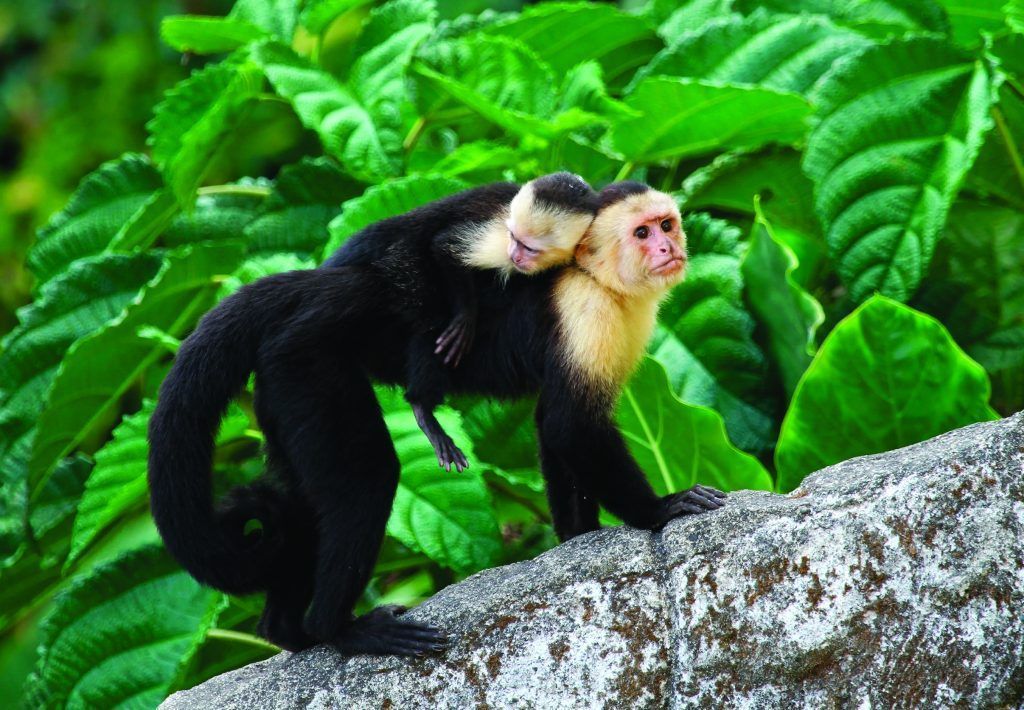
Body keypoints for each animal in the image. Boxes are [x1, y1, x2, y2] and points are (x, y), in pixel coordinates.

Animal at [324, 172, 599, 472]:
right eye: (514, 238)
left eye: (530, 248)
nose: (515, 256)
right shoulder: (498, 233)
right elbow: (446, 247)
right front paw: (466, 318)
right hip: (401, 262)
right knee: (430, 313)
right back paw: (423, 407)